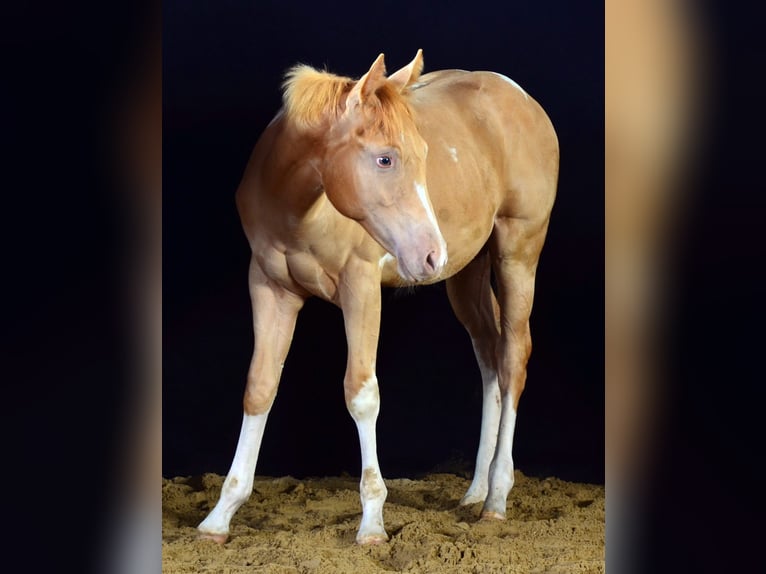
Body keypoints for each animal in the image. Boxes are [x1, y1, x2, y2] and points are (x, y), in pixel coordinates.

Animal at [197, 49, 559, 545]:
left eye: (423, 154)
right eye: (385, 159)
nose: (431, 253)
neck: (301, 206)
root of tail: (520, 98)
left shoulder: (362, 286)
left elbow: (361, 393)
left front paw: (371, 523)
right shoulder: (270, 288)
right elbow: (260, 388)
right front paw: (220, 516)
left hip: (518, 252)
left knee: (512, 358)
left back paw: (497, 498)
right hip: (467, 274)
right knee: (488, 358)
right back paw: (475, 492)